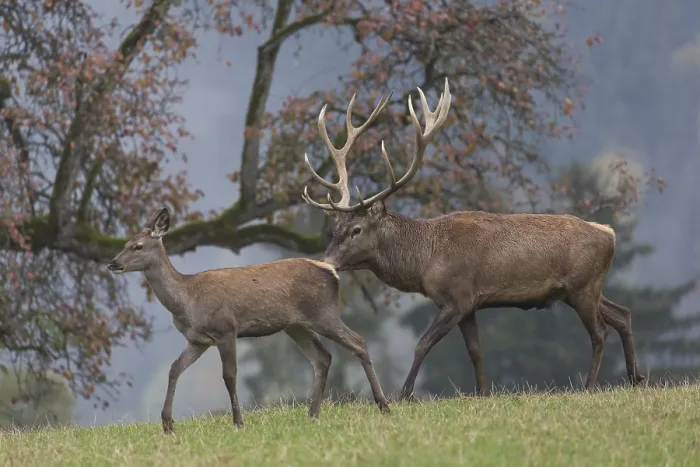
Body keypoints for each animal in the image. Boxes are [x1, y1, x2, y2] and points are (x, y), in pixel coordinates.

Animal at [106, 207, 390, 434]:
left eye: (138, 246)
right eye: (125, 242)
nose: (113, 263)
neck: (186, 300)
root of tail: (331, 271)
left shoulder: (225, 329)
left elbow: (229, 375)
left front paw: (238, 422)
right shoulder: (198, 340)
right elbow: (174, 368)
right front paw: (167, 423)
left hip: (324, 313)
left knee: (359, 342)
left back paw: (383, 405)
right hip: (296, 326)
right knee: (323, 357)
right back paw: (312, 414)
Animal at [301, 78, 644, 401]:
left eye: (356, 229)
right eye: (335, 227)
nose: (325, 262)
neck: (425, 260)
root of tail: (609, 234)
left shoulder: (458, 297)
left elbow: (422, 344)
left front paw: (404, 394)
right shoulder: (469, 306)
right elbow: (475, 351)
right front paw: (483, 392)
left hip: (582, 287)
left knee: (600, 332)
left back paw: (589, 386)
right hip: (585, 289)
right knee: (622, 314)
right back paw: (635, 377)